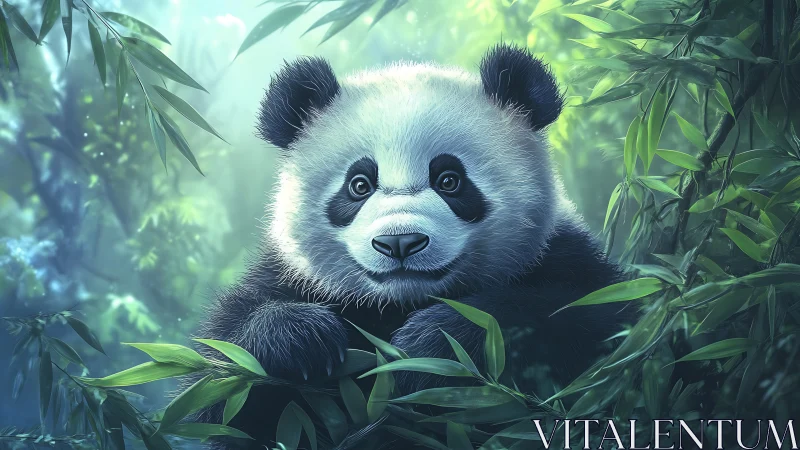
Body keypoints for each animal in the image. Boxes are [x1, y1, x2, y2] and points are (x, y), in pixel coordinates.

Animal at [194, 43, 628, 449]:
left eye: (450, 180)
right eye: (359, 184)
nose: (399, 242)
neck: (400, 302)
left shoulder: (561, 257)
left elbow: (595, 327)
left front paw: (431, 345)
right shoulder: (290, 278)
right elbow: (224, 391)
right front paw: (301, 338)